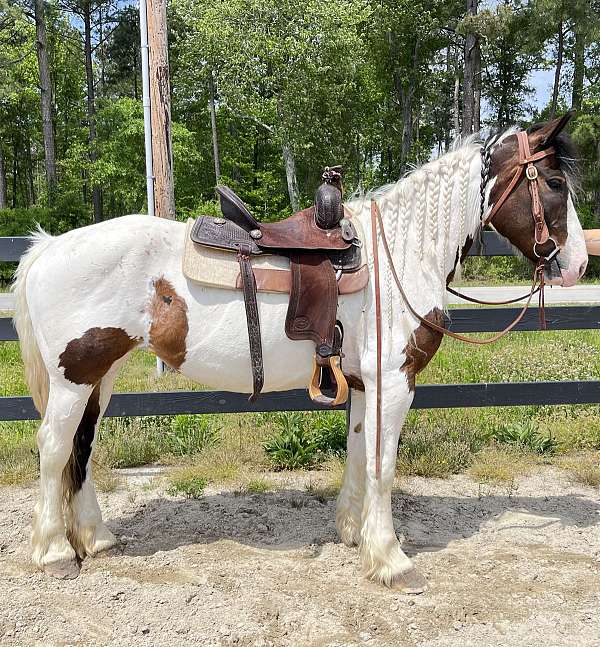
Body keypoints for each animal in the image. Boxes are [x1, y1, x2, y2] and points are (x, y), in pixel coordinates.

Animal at [11, 114, 588, 588]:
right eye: (555, 183)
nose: (578, 265)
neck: (399, 255)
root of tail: (49, 247)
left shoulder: (365, 384)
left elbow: (358, 454)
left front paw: (355, 534)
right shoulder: (395, 381)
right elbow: (383, 465)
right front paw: (391, 560)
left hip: (99, 376)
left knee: (82, 450)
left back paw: (96, 539)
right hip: (73, 377)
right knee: (55, 448)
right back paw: (55, 551)